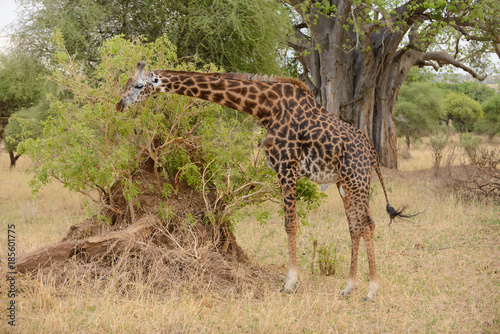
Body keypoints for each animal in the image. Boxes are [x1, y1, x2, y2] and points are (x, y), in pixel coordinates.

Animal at [116, 61, 414, 302]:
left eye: (139, 85)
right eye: (127, 83)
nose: (119, 104)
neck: (266, 107)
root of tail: (372, 151)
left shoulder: (286, 167)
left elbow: (290, 224)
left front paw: (289, 283)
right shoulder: (286, 170)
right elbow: (295, 224)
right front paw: (293, 281)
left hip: (357, 179)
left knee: (368, 224)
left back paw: (371, 290)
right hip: (344, 183)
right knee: (355, 227)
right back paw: (348, 288)